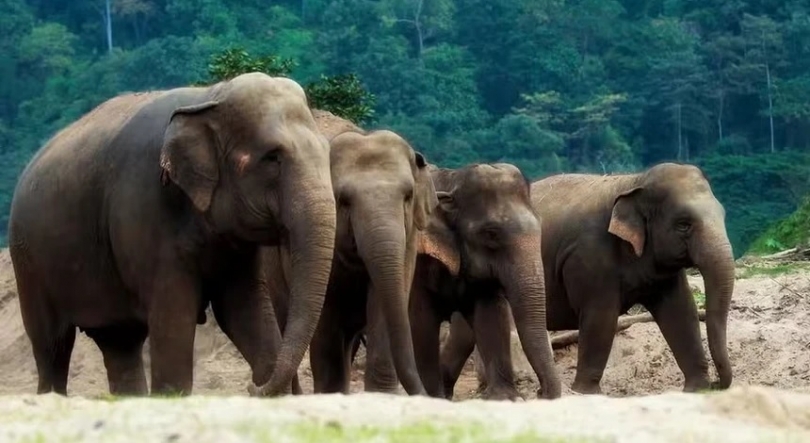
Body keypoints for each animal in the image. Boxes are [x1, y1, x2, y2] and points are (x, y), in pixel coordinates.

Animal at [7, 72, 337, 397]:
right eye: (272, 158)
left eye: (325, 151)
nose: (252, 386)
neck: (209, 96)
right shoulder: (145, 212)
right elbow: (174, 316)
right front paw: (172, 394)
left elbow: (245, 308)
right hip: (28, 261)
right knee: (52, 346)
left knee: (120, 342)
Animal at [250, 116, 437, 397]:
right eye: (344, 200)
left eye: (408, 196)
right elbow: (326, 316)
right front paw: (331, 393)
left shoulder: (409, 240)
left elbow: (383, 303)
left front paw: (381, 394)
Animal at [365, 162, 562, 401]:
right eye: (491, 233)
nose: (540, 392)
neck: (452, 181)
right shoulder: (418, 260)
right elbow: (421, 321)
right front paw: (433, 397)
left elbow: (490, 315)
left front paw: (505, 397)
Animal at [439, 162, 735, 396]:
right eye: (684, 224)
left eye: (723, 215)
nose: (718, 384)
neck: (633, 181)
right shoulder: (589, 257)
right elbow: (600, 317)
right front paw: (585, 392)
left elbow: (680, 312)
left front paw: (697, 389)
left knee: (464, 334)